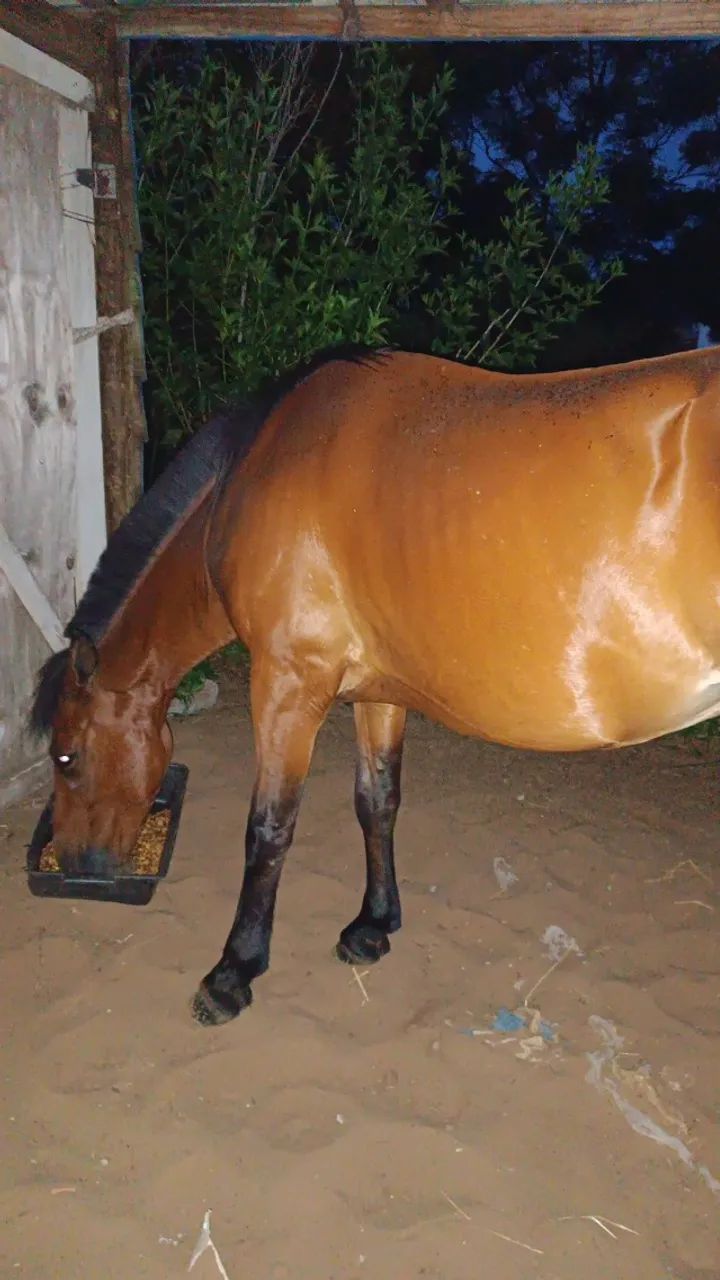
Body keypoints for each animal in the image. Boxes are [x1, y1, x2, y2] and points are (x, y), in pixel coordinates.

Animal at [31, 343, 720, 1027]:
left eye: (65, 756)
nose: (75, 864)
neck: (256, 468)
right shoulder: (378, 691)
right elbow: (377, 801)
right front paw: (373, 925)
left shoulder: (286, 686)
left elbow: (268, 829)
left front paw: (232, 973)